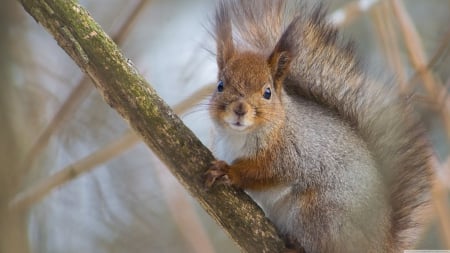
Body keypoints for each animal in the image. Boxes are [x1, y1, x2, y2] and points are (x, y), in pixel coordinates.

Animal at [203, 0, 432, 252]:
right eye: (220, 85)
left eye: (267, 92)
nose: (240, 109)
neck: (241, 135)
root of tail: (379, 244)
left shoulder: (291, 155)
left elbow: (263, 173)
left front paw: (229, 172)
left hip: (318, 213)